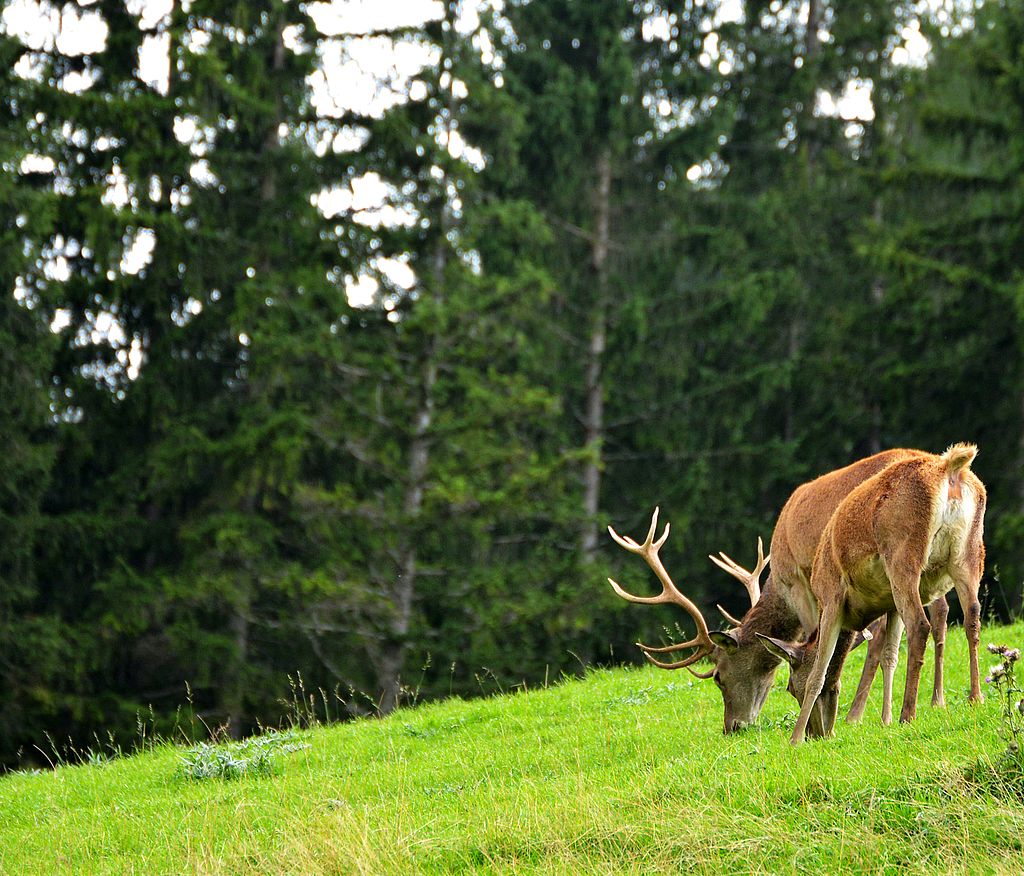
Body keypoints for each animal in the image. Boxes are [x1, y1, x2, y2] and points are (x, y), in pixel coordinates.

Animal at [607, 448, 954, 736]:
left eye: (718, 676)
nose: (732, 727)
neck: (778, 585)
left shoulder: (802, 585)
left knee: (892, 631)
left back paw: (856, 714)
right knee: (940, 611)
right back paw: (936, 699)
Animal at [771, 443, 985, 745]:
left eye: (790, 687)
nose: (817, 734)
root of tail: (951, 469)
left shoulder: (831, 597)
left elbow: (819, 672)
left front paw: (795, 738)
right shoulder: (889, 604)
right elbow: (890, 655)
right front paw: (885, 720)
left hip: (903, 556)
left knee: (920, 625)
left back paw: (909, 713)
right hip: (969, 555)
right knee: (972, 616)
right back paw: (975, 697)